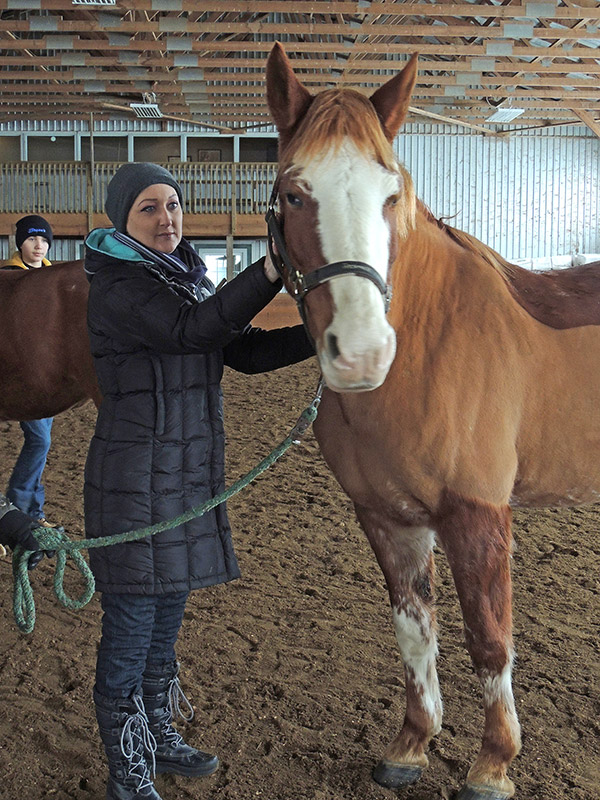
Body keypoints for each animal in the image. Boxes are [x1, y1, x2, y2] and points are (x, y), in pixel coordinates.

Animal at [265, 42, 600, 800]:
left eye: (393, 193)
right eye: (295, 193)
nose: (362, 353)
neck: (431, 345)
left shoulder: (477, 515)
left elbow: (490, 639)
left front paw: (493, 764)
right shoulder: (389, 518)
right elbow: (416, 631)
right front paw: (411, 746)